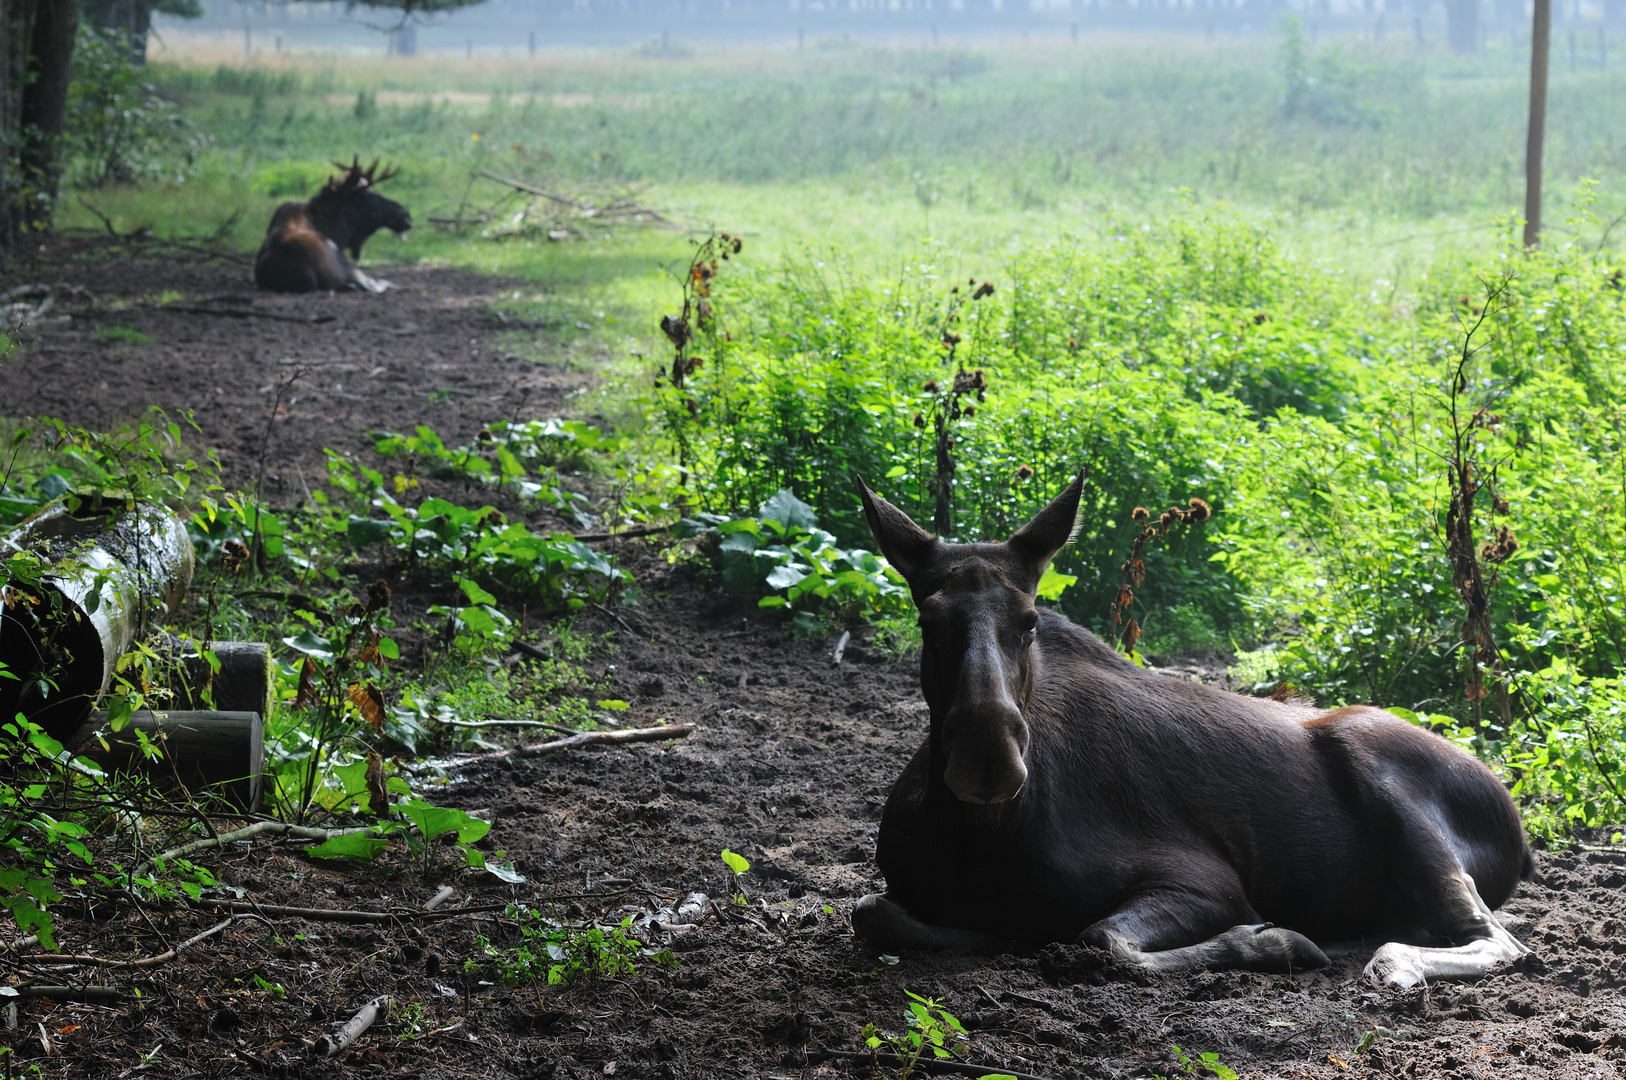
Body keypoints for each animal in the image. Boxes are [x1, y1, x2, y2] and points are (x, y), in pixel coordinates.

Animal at [858, 474, 1528, 988]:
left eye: (1028, 621)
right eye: (927, 621)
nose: (987, 759)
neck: (977, 837)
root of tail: (1521, 839)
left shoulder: (1206, 883)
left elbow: (1101, 939)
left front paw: (1276, 941)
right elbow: (874, 911)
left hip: (1379, 771)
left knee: (1498, 940)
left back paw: (1383, 961)